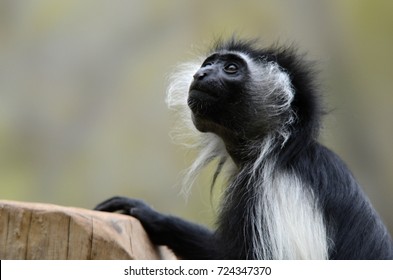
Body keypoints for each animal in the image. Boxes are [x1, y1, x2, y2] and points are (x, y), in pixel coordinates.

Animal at [95, 38, 392, 260]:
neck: (279, 150)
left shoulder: (271, 196)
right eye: (209, 64)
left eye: (230, 68)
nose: (201, 74)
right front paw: (149, 215)